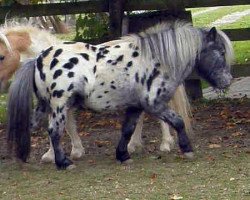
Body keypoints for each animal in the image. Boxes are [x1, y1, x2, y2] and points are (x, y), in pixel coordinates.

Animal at [7, 21, 234, 170]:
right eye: (221, 52)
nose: (227, 81)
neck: (155, 60)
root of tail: (38, 58)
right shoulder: (155, 104)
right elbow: (178, 122)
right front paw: (187, 149)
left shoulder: (136, 106)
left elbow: (127, 130)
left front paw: (123, 155)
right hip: (59, 105)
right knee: (54, 131)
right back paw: (63, 163)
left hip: (44, 105)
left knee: (28, 125)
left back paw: (22, 157)